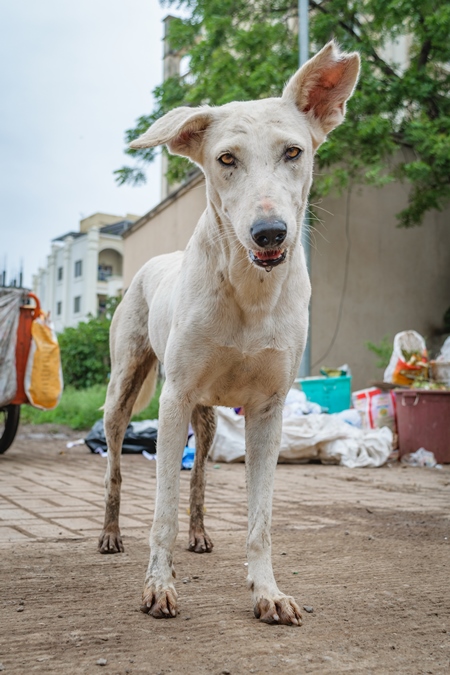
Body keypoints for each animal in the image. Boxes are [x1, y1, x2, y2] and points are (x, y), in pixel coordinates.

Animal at [98, 39, 358, 624]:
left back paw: (199, 535)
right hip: (124, 390)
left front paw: (267, 592)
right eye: (226, 160)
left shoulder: (267, 411)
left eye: (293, 152)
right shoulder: (172, 401)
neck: (249, 289)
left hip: (211, 419)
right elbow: (162, 513)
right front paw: (158, 586)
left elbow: (259, 520)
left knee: (198, 478)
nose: (269, 233)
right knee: (116, 469)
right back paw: (110, 534)